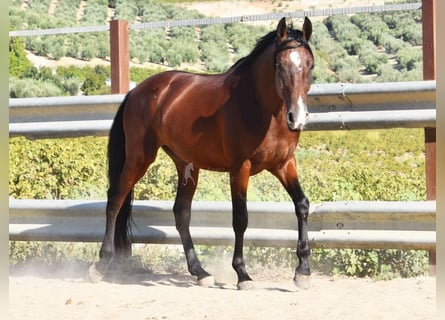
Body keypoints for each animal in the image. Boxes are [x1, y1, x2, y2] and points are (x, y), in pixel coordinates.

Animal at [88, 16, 314, 290]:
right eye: (280, 65)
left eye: (310, 65)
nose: (297, 118)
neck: (259, 106)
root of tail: (137, 91)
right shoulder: (240, 168)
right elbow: (241, 218)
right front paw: (242, 274)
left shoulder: (284, 164)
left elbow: (302, 205)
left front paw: (303, 271)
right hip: (139, 158)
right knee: (115, 200)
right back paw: (101, 265)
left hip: (186, 165)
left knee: (181, 213)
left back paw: (200, 272)